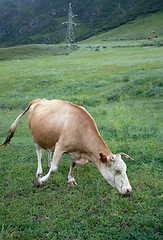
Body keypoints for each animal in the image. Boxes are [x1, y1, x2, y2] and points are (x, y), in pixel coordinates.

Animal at [0, 99, 134, 195]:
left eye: (125, 169)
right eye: (117, 171)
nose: (129, 190)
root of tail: (37, 100)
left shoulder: (74, 151)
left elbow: (72, 165)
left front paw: (71, 179)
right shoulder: (60, 147)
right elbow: (54, 169)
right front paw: (40, 181)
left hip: (48, 137)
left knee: (48, 151)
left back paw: (48, 163)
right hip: (35, 138)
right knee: (39, 153)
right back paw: (39, 172)